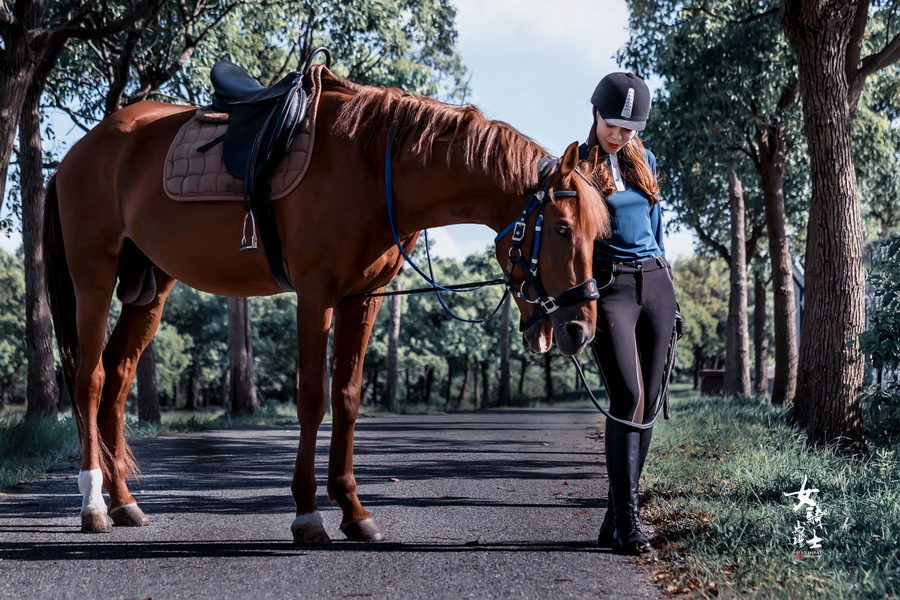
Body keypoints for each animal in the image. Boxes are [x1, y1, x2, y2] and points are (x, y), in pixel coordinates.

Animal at [45, 69, 612, 544]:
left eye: (597, 234)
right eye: (562, 230)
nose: (580, 330)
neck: (374, 166)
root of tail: (80, 151)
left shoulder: (361, 300)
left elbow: (348, 397)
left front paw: (353, 511)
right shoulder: (315, 295)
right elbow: (312, 399)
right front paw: (308, 514)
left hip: (150, 288)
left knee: (118, 378)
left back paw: (125, 502)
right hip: (94, 277)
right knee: (90, 379)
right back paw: (93, 504)